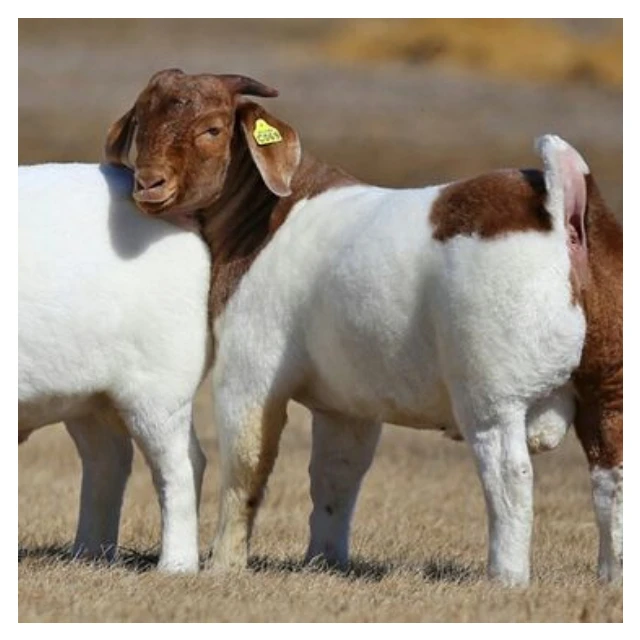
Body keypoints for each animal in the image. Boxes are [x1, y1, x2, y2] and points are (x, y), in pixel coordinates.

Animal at [106, 69, 622, 585]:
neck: (272, 215)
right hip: (609, 384)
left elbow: (246, 465)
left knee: (510, 474)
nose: (148, 183)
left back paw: (506, 577)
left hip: (493, 393)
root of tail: (564, 212)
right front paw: (324, 560)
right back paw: (611, 577)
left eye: (212, 129)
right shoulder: (347, 406)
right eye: (140, 121)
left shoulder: (248, 375)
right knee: (611, 476)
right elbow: (336, 477)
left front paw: (223, 565)